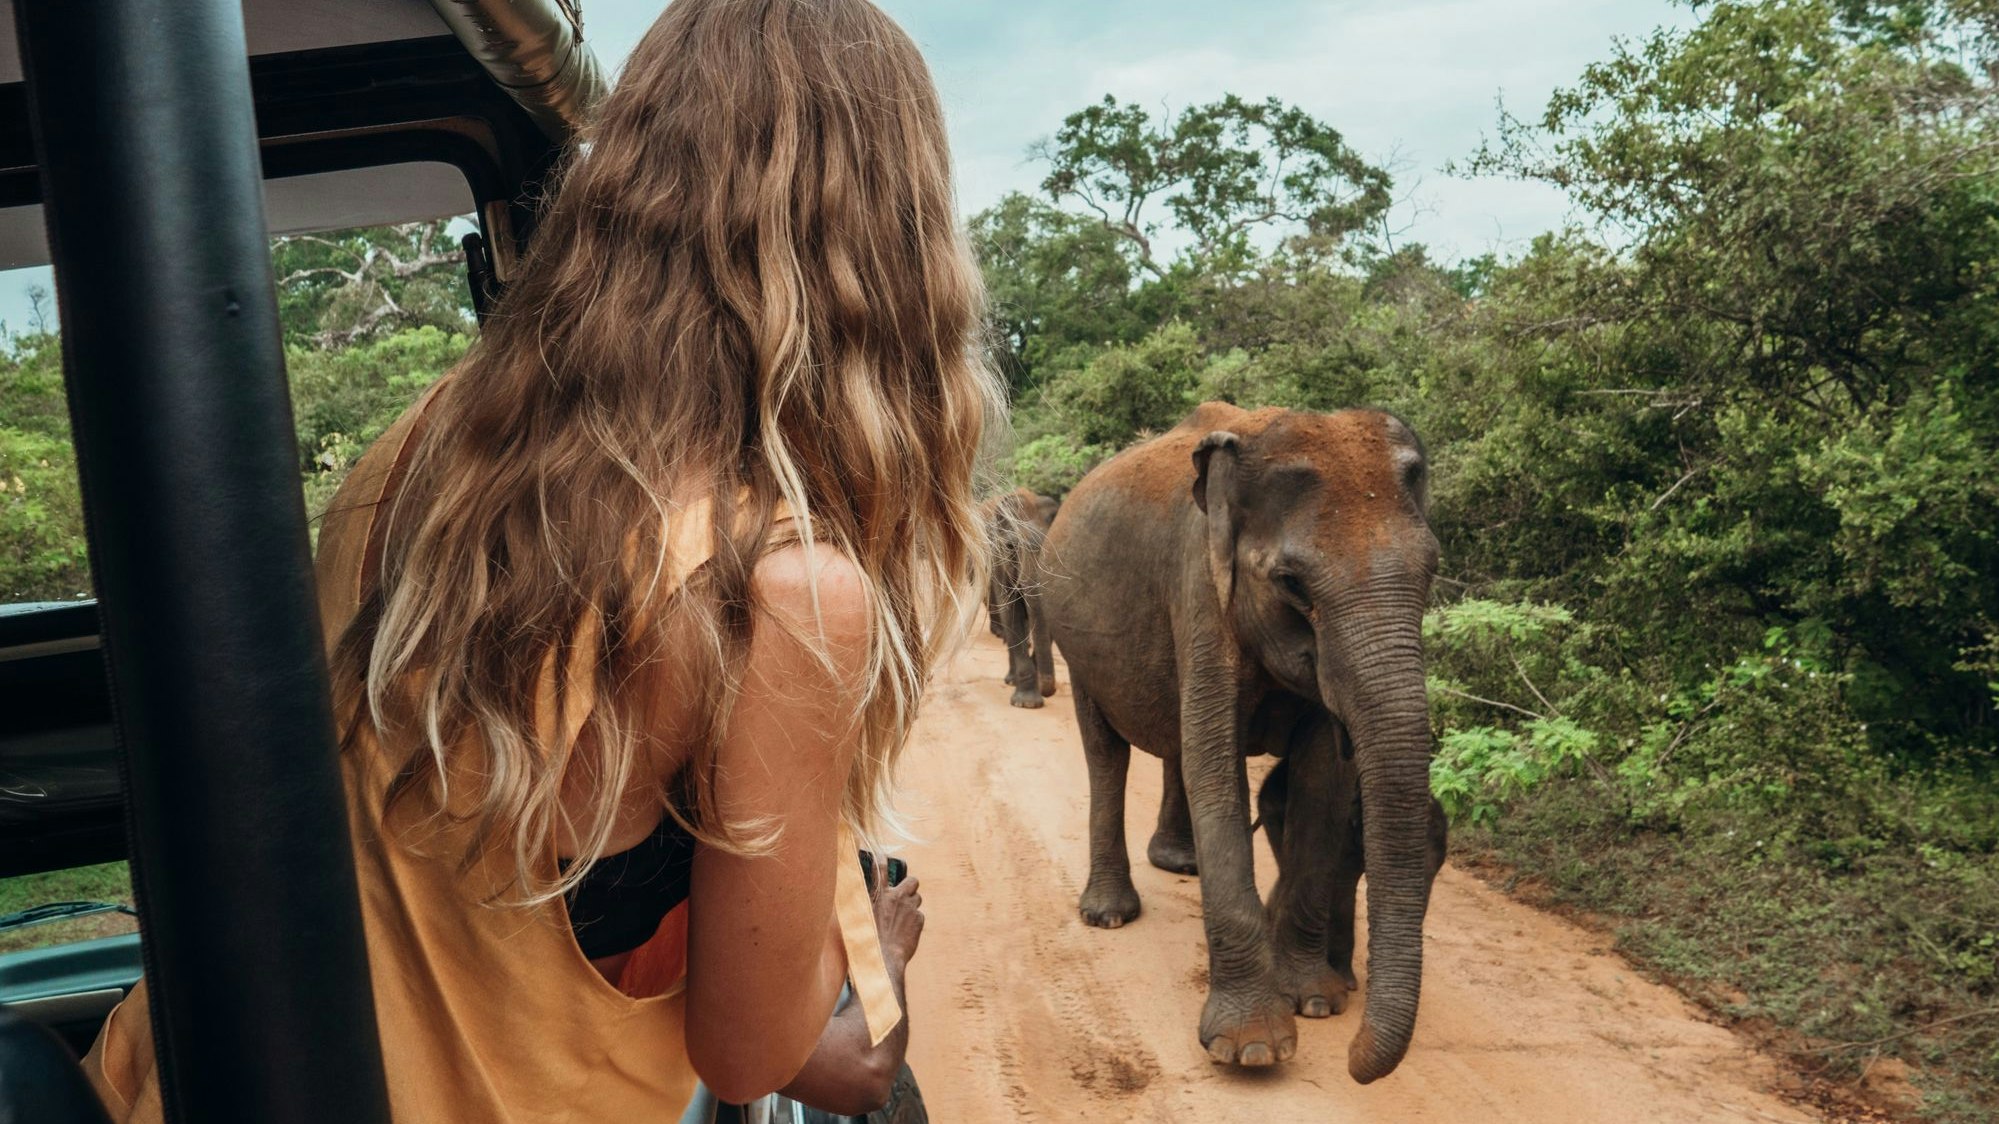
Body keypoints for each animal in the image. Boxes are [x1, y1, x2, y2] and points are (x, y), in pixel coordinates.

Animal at [985, 487, 1059, 709]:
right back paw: (1011, 680)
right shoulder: (1000, 564)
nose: (1049, 691)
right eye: (1011, 547)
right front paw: (1026, 704)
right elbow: (1011, 615)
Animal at [1041, 401, 1446, 1083]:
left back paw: (1181, 864)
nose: (1355, 1064)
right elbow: (1217, 765)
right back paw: (1109, 913)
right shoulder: (1200, 593)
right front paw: (1252, 1049)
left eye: (1433, 569)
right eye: (1292, 583)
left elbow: (1321, 782)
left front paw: (1316, 1002)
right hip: (1076, 640)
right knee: (1106, 755)